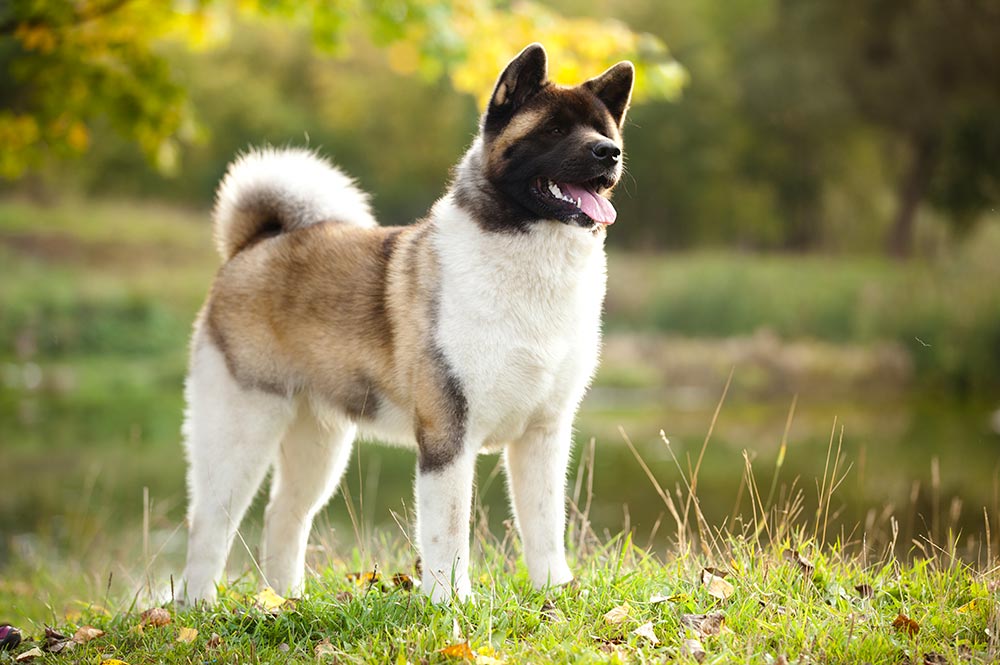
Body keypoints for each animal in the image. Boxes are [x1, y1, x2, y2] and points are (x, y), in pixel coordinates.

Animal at [180, 41, 632, 600]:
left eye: (603, 131)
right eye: (552, 130)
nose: (608, 154)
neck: (531, 258)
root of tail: (253, 245)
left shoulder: (544, 435)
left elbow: (545, 526)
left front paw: (554, 592)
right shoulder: (447, 435)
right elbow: (448, 533)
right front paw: (451, 602)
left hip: (318, 443)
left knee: (283, 516)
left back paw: (282, 602)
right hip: (241, 431)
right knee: (211, 525)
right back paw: (198, 608)